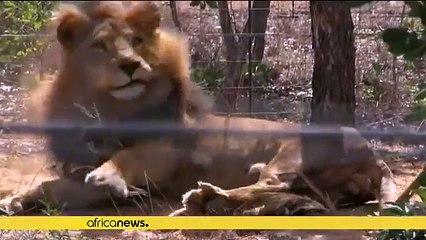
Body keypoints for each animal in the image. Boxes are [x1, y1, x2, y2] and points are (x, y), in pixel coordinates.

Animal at [0, 1, 394, 216]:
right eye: (100, 46)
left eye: (136, 42)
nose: (130, 65)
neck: (111, 110)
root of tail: (373, 158)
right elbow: (53, 185)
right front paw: (18, 200)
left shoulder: (166, 154)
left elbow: (124, 161)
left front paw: (110, 176)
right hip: (320, 185)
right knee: (290, 195)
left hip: (290, 156)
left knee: (269, 183)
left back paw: (205, 198)